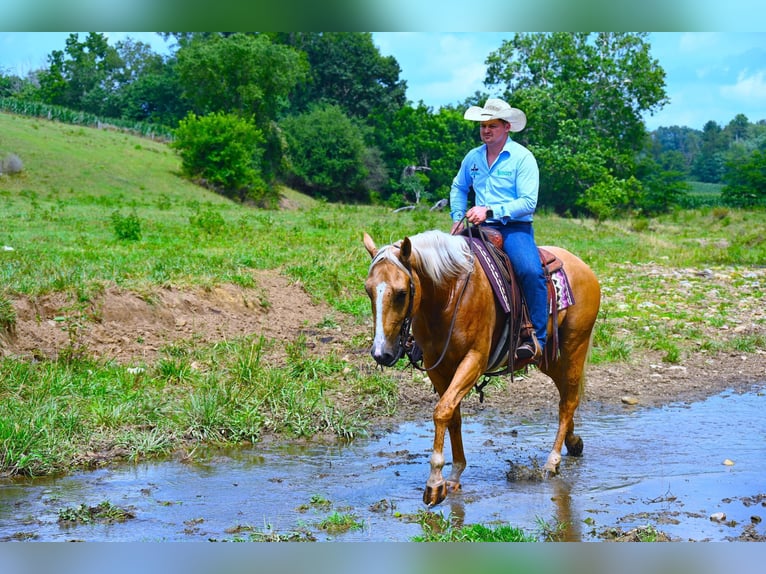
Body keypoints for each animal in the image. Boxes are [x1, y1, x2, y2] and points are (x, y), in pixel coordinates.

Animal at [364, 230, 604, 508]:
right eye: (368, 290)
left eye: (402, 293)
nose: (381, 353)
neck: (449, 295)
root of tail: (584, 267)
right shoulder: (438, 366)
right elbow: (452, 414)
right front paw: (454, 474)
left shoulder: (474, 360)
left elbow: (442, 411)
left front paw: (434, 483)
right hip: (550, 359)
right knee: (568, 394)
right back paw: (573, 443)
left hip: (574, 347)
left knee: (568, 402)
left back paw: (552, 461)